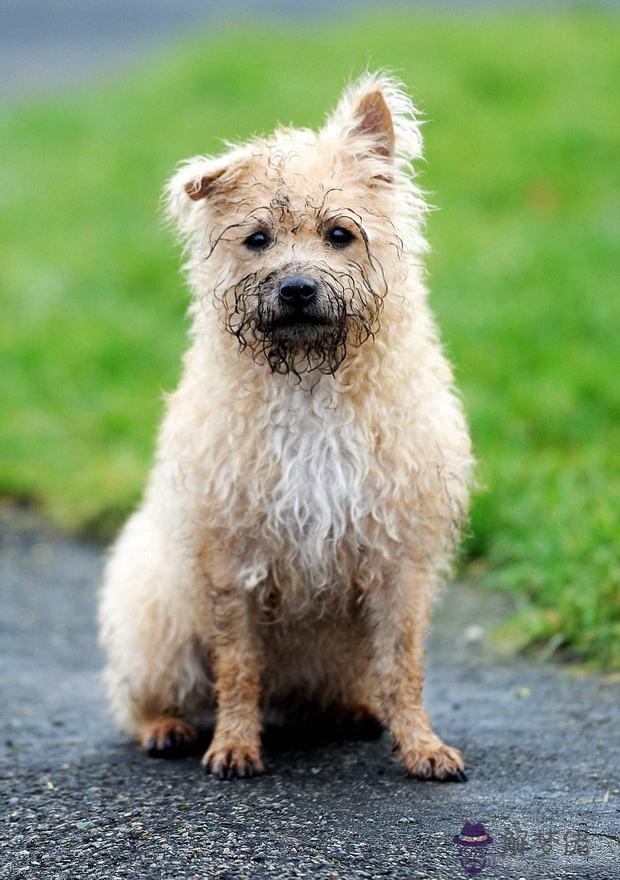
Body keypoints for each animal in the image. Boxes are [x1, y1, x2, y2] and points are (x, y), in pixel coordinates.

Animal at [99, 72, 472, 780]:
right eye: (257, 239)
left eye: (340, 234)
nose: (297, 288)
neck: (309, 381)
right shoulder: (235, 562)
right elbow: (238, 666)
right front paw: (234, 745)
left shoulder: (397, 562)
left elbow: (404, 664)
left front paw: (421, 744)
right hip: (158, 618)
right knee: (147, 693)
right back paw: (164, 726)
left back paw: (357, 711)